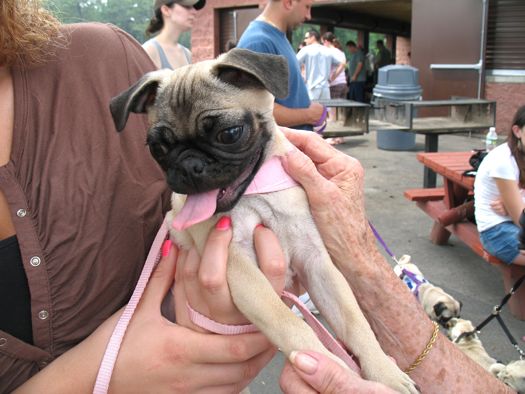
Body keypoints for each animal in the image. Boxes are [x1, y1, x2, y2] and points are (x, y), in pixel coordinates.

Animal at [111, 47, 418, 392]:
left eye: (229, 133)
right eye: (158, 148)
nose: (189, 165)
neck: (256, 193)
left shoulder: (317, 264)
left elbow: (355, 322)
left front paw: (384, 372)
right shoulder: (240, 270)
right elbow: (288, 323)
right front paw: (328, 363)